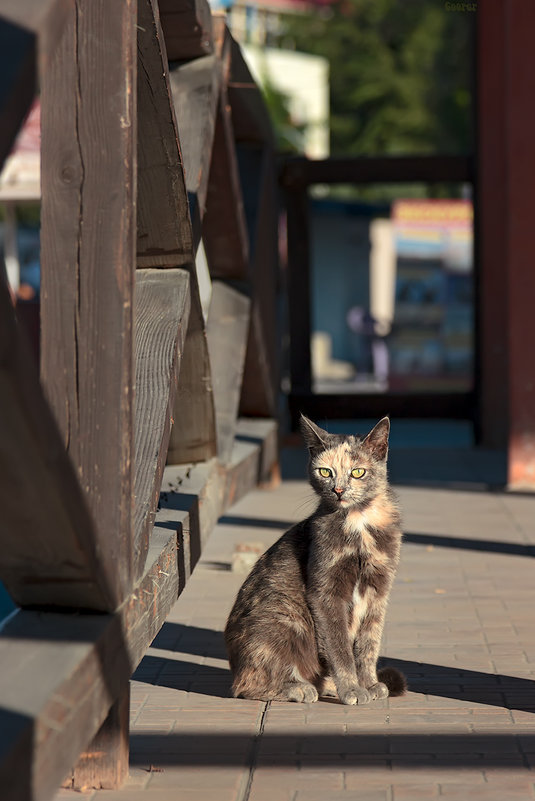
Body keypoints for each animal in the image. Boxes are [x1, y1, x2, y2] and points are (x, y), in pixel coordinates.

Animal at [225, 416, 406, 704]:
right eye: (325, 472)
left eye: (358, 472)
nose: (338, 490)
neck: (358, 522)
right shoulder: (326, 593)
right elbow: (340, 648)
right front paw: (352, 689)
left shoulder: (379, 590)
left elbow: (368, 643)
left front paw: (369, 684)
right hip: (283, 620)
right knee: (247, 686)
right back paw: (299, 688)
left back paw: (327, 686)